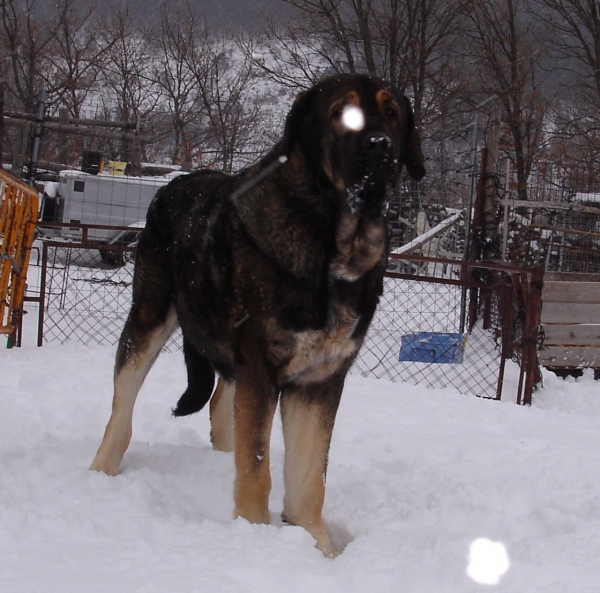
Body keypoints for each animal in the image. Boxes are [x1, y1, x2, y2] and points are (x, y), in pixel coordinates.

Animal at [90, 73, 426, 556]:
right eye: (342, 114)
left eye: (393, 112)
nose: (380, 145)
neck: (329, 243)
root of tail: (174, 183)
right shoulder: (262, 368)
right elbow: (257, 466)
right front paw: (253, 534)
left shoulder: (318, 381)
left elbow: (309, 477)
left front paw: (316, 545)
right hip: (149, 317)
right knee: (123, 405)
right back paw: (101, 471)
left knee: (219, 405)